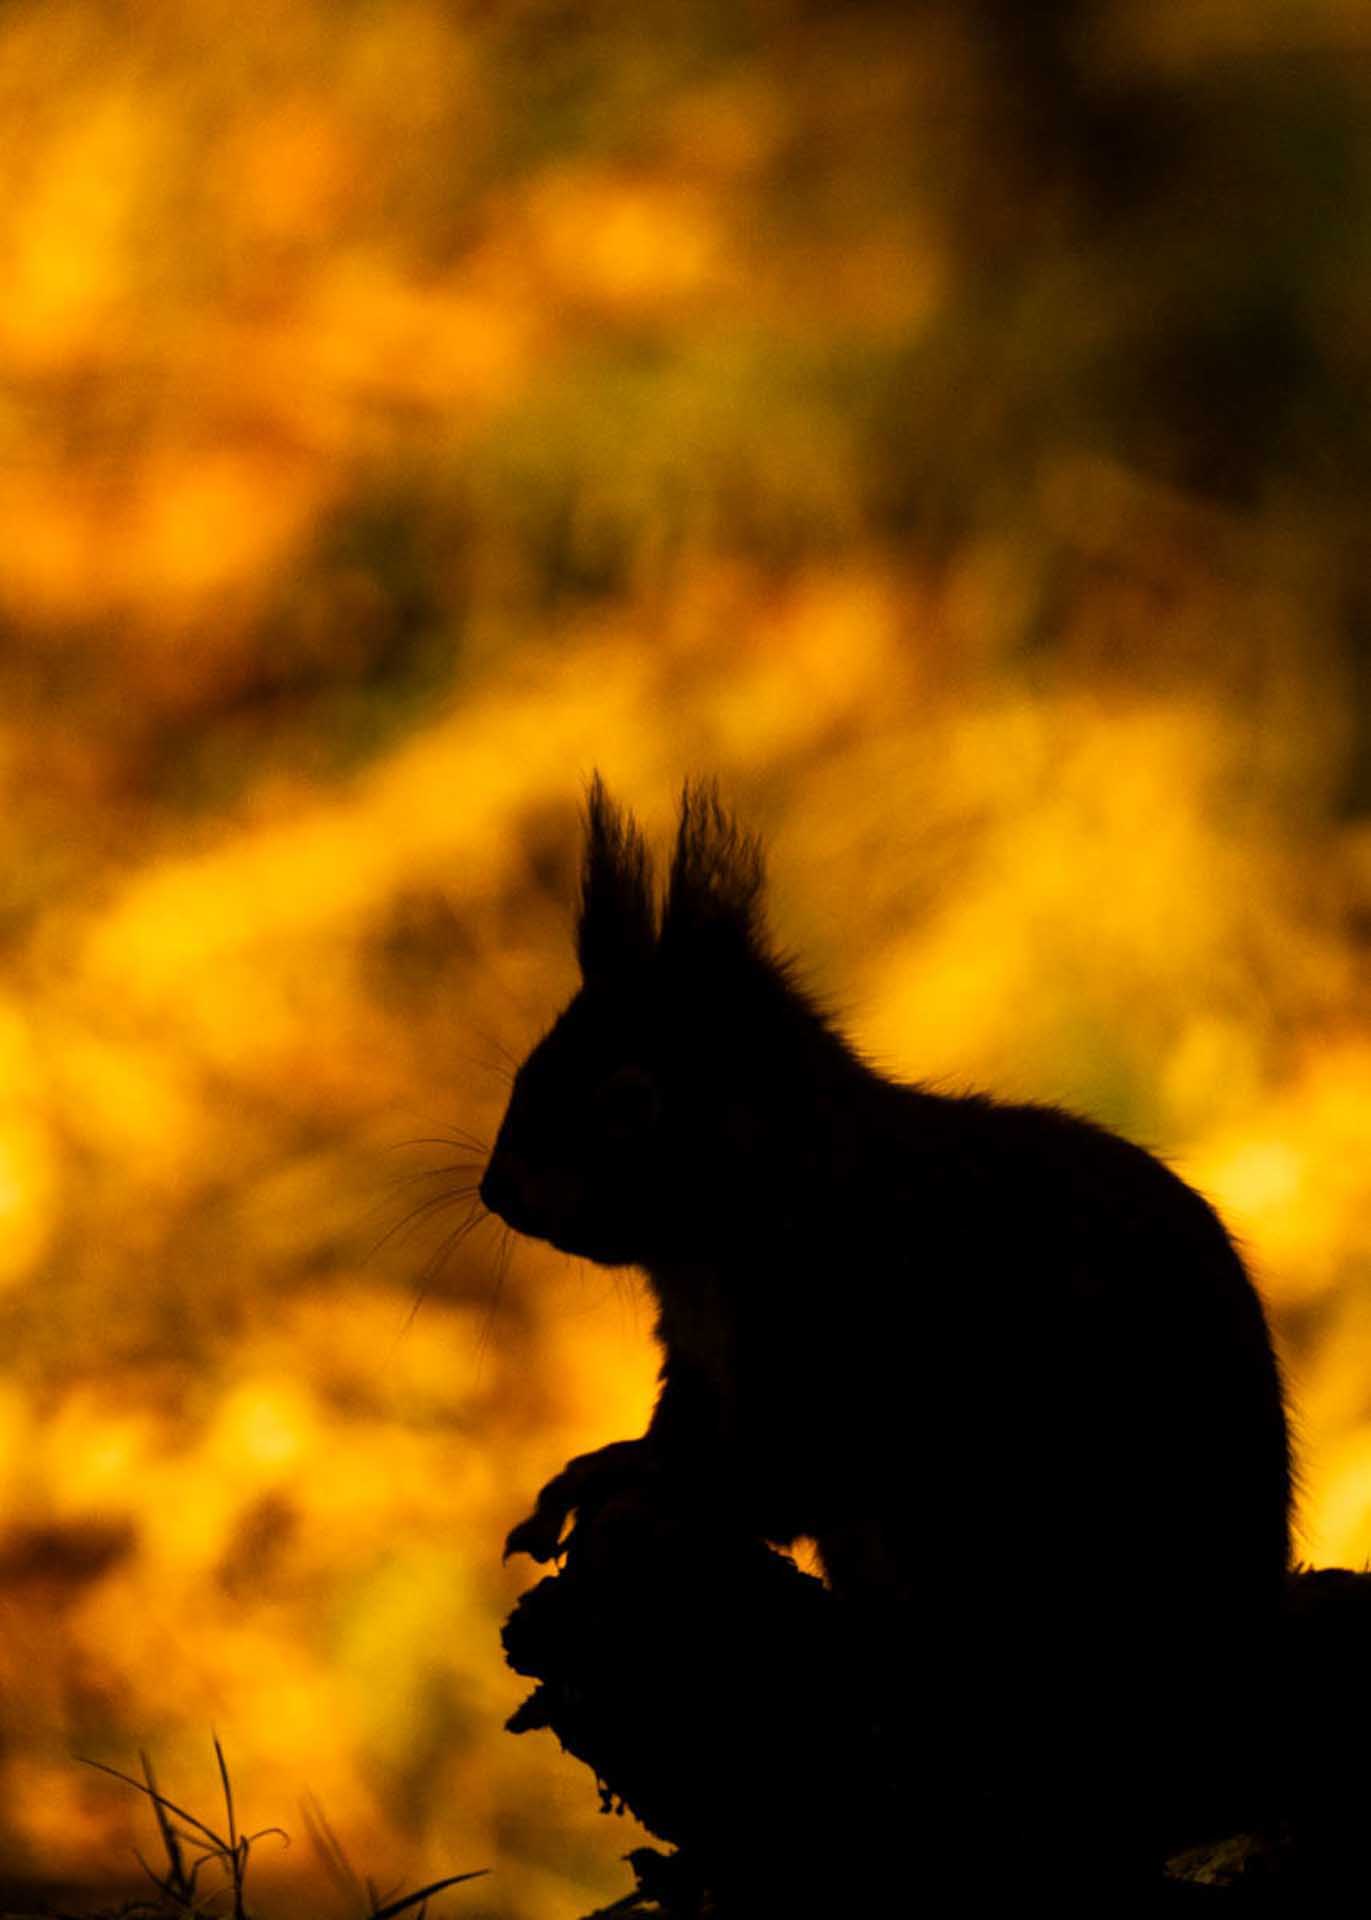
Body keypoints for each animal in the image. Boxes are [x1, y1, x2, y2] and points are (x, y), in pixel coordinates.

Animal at [481, 776, 1293, 1876]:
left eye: (628, 1102)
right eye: (528, 1069)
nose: (495, 1190)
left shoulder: (847, 1347)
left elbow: (763, 1478)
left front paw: (644, 1485)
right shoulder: (698, 1364)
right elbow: (682, 1432)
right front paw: (601, 1469)